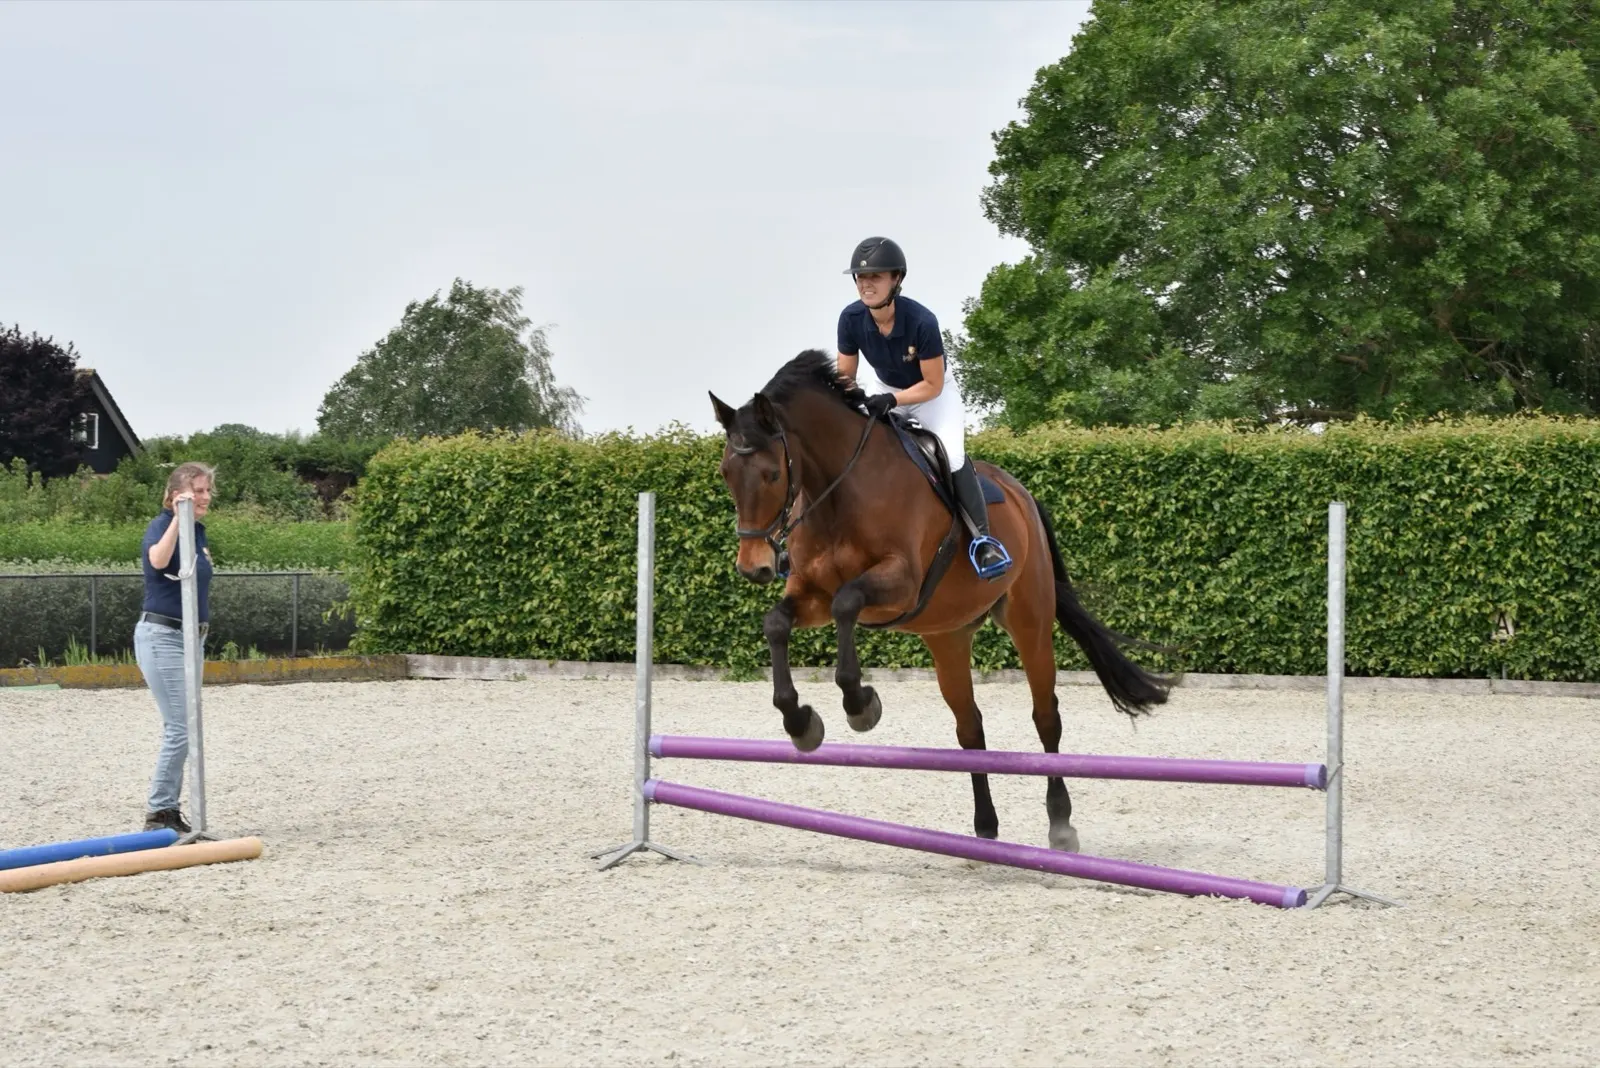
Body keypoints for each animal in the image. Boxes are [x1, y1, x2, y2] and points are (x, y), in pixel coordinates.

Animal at [709, 349, 1172, 851]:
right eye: (726, 474)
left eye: (772, 474)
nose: (753, 567)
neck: (837, 491)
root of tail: (1022, 494)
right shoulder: (810, 593)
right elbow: (777, 623)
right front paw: (800, 723)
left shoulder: (900, 583)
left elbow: (846, 604)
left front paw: (860, 705)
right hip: (947, 635)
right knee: (969, 726)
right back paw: (985, 827)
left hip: (1029, 620)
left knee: (1046, 716)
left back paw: (1060, 823)